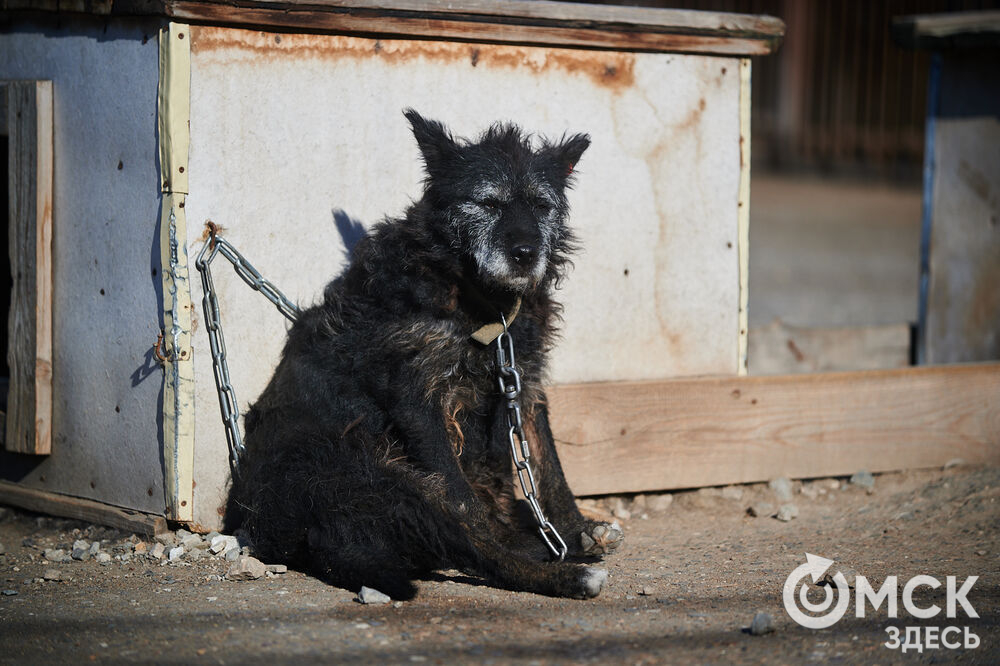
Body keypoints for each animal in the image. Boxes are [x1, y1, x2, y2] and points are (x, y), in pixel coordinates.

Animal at [223, 109, 620, 596]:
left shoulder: (522, 381)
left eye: (542, 205)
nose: (525, 254)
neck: (480, 303)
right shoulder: (417, 398)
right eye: (487, 203)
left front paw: (575, 528)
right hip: (387, 473)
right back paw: (561, 570)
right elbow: (466, 502)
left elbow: (550, 466)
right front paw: (542, 540)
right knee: (472, 547)